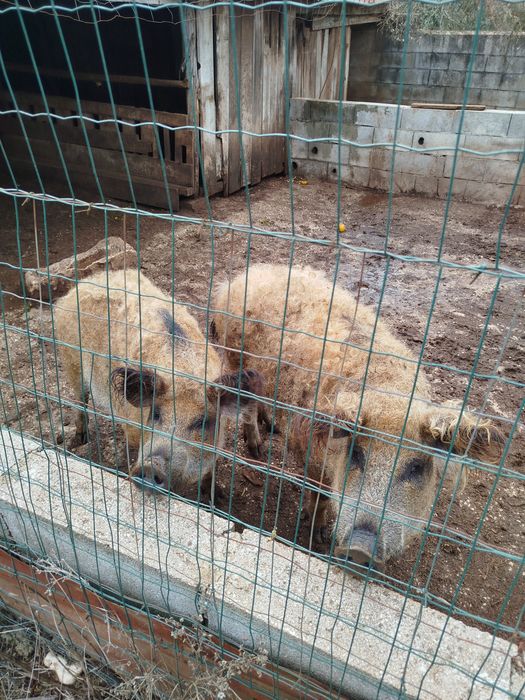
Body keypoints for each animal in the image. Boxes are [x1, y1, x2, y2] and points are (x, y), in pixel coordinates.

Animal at [54, 269, 264, 497]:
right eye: (155, 413)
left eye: (202, 422)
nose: (151, 466)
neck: (183, 375)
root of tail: (83, 283)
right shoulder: (131, 426)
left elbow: (209, 472)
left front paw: (215, 498)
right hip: (71, 361)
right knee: (80, 399)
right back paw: (81, 438)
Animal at [211, 264, 505, 568]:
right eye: (357, 453)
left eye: (416, 467)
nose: (360, 548)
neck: (389, 395)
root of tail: (243, 276)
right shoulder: (312, 454)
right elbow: (320, 496)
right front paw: (316, 537)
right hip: (235, 357)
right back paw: (258, 450)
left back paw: (271, 428)